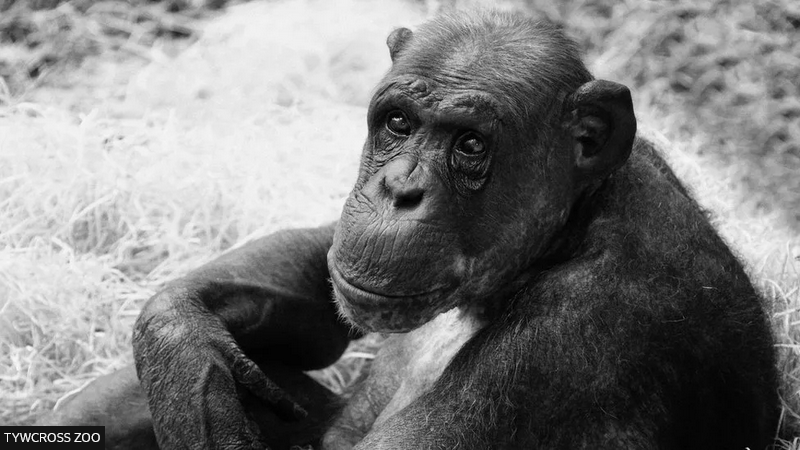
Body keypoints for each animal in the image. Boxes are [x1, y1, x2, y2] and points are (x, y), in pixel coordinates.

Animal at [40, 10, 780, 450]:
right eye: (398, 123)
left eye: (471, 145)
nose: (398, 192)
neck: (557, 238)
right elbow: (319, 274)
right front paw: (181, 342)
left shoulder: (569, 346)